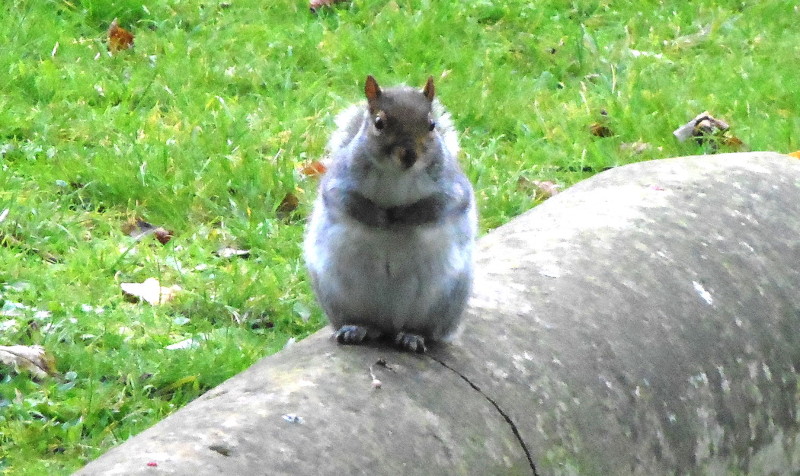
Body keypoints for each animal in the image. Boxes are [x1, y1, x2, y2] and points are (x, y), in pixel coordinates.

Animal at [302, 75, 476, 354]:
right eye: (379, 123)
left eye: (432, 125)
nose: (409, 155)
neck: (398, 173)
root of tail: (390, 325)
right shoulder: (339, 181)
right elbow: (344, 200)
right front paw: (378, 217)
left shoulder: (453, 186)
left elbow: (443, 204)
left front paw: (406, 217)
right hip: (338, 296)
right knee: (367, 324)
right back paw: (356, 328)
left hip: (444, 301)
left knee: (427, 330)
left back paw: (413, 336)